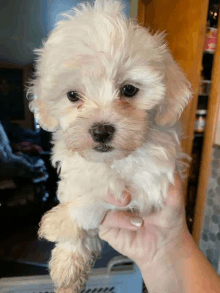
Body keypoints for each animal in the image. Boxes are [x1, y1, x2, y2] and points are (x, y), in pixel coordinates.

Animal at [28, 1, 191, 290]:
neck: (111, 161)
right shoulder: (75, 173)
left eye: (129, 90)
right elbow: (80, 191)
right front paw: (68, 261)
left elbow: (98, 196)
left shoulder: (150, 182)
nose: (101, 131)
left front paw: (61, 220)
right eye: (73, 96)